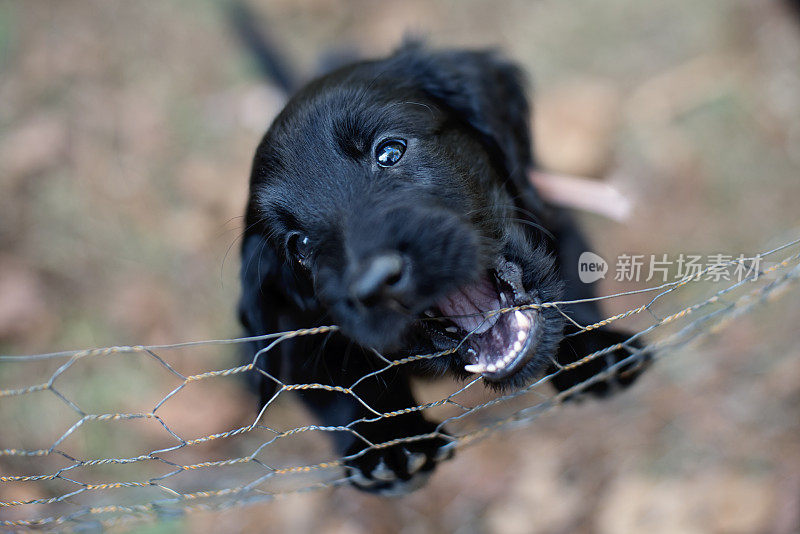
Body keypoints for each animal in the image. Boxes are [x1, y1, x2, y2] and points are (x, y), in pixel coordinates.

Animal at [239, 43, 648, 498]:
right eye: (300, 245)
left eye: (390, 151)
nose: (374, 282)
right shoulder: (302, 336)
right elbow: (342, 390)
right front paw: (390, 441)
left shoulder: (552, 216)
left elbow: (570, 289)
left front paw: (590, 353)